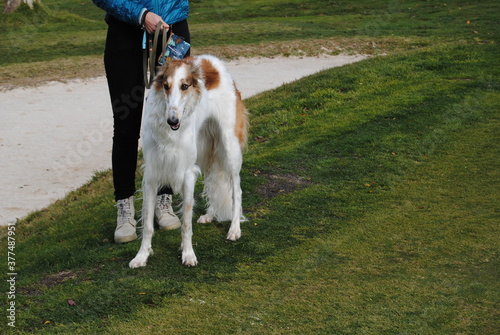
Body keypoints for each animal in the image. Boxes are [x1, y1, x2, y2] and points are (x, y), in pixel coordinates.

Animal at [128, 55, 247, 270]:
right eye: (166, 86)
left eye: (184, 86)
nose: (172, 120)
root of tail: (212, 60)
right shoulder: (152, 174)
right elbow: (148, 223)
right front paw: (142, 256)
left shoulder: (187, 173)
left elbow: (186, 222)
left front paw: (188, 254)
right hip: (207, 148)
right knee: (214, 181)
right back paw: (210, 214)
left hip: (229, 146)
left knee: (237, 189)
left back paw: (234, 228)